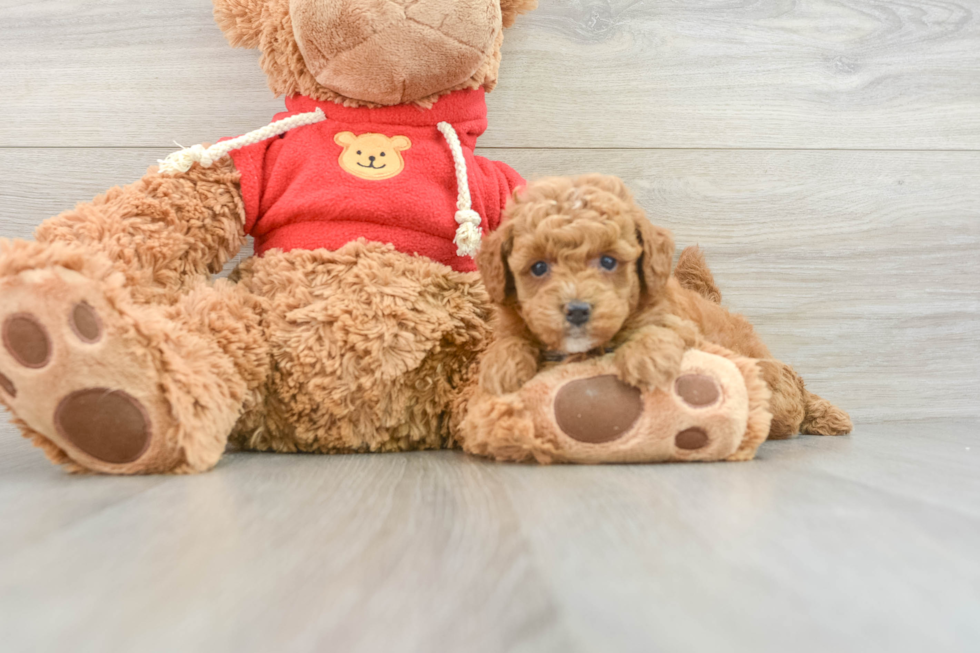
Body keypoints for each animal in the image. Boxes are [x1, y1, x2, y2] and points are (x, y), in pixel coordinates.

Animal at [478, 173, 852, 438]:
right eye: (539, 267)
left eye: (608, 262)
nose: (577, 310)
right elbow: (508, 340)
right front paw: (502, 366)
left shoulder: (680, 324)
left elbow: (658, 332)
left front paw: (647, 360)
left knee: (792, 389)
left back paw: (828, 416)